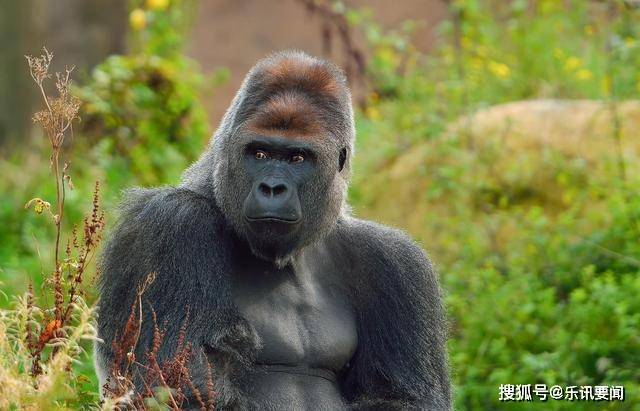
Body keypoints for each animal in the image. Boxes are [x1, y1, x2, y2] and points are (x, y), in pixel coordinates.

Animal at [97, 51, 452, 411]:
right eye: (259, 153)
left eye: (298, 158)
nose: (271, 187)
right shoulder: (172, 223)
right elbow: (177, 381)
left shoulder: (397, 264)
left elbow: (406, 398)